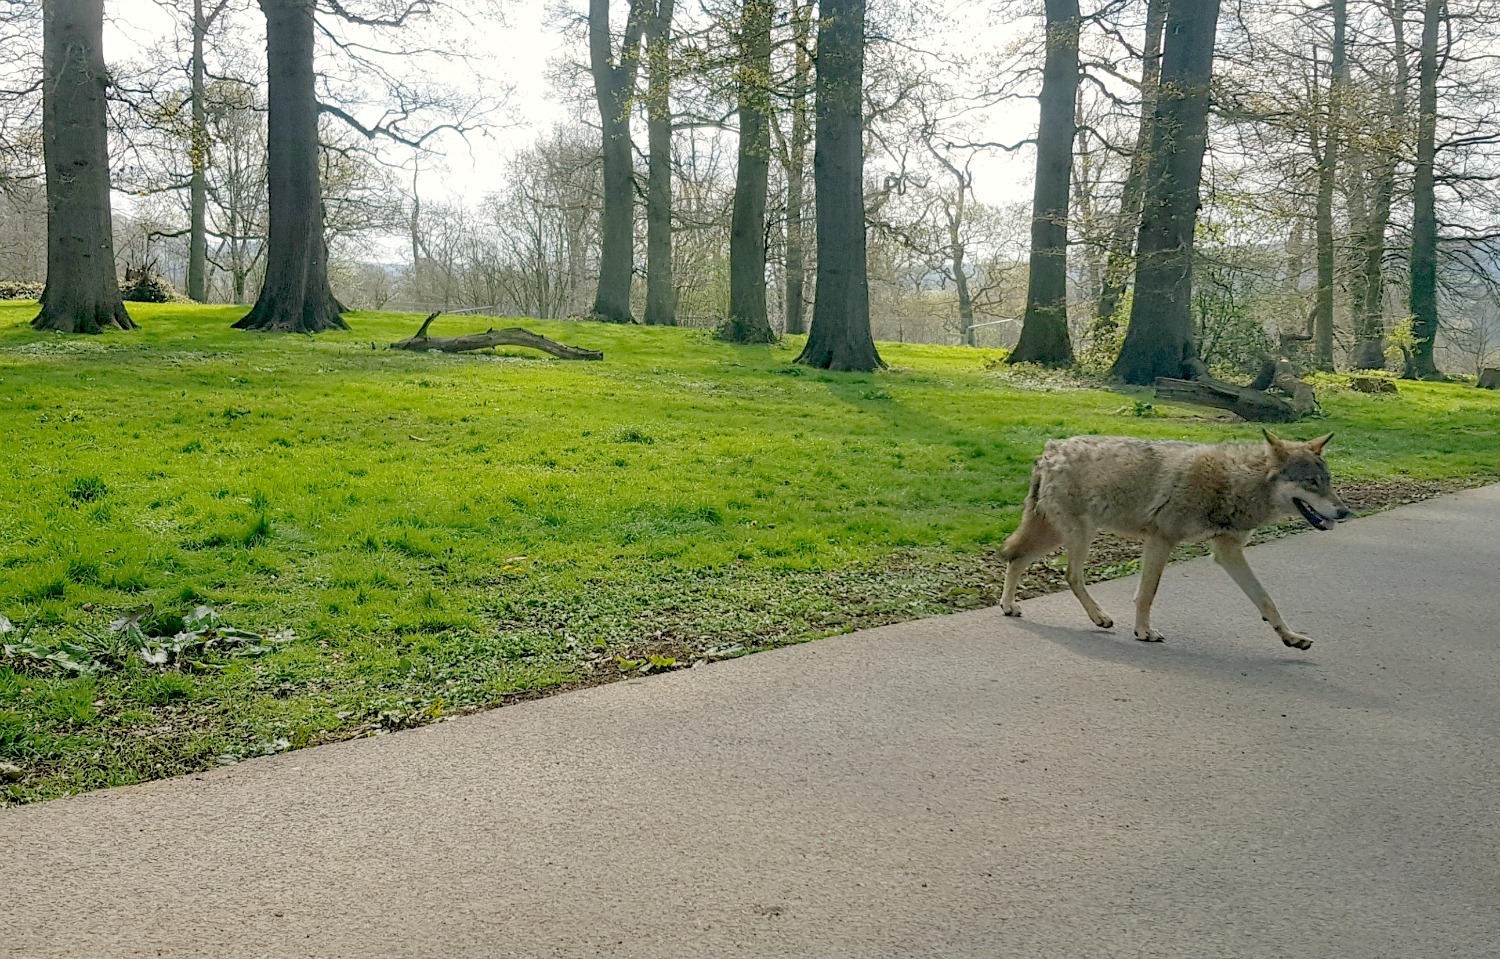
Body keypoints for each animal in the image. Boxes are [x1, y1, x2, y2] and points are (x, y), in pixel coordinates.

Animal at [998, 431, 1350, 650]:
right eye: (1312, 482)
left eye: (1328, 481)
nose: (1345, 511)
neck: (1235, 482)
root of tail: (1050, 449)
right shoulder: (1160, 540)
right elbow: (1146, 594)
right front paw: (1144, 632)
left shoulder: (1228, 551)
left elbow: (1266, 600)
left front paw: (1291, 637)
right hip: (1076, 535)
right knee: (1069, 574)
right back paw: (1098, 616)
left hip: (1056, 534)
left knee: (1016, 558)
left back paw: (1008, 606)